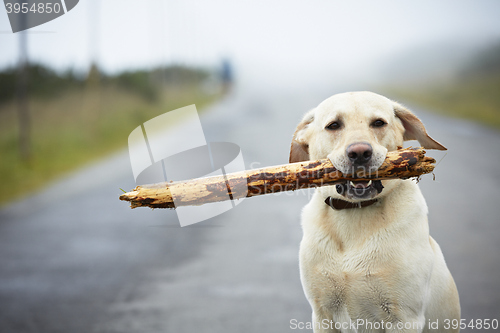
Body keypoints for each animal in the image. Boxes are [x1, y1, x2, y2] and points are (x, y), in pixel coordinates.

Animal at [292, 91, 458, 332]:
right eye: (334, 125)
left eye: (379, 123)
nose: (360, 153)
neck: (355, 213)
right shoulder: (323, 314)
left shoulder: (404, 318)